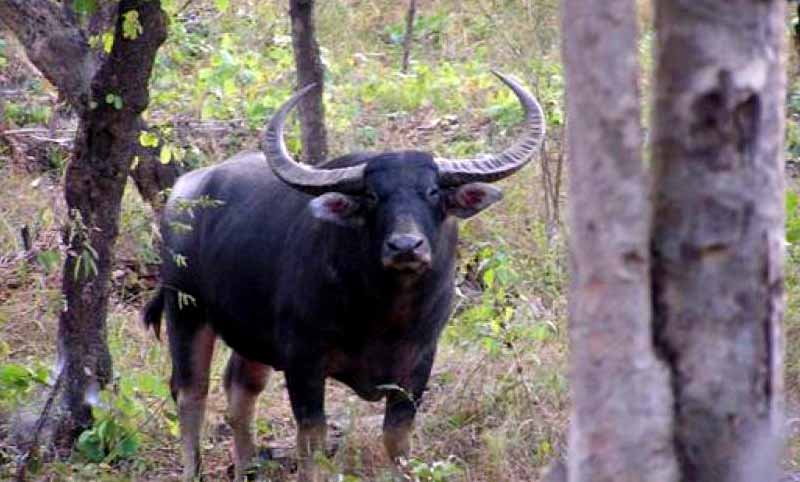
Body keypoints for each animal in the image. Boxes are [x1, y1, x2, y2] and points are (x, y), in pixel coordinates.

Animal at [142, 69, 544, 480]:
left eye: (432, 191)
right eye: (373, 195)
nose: (405, 246)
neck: (386, 314)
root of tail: (182, 193)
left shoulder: (419, 364)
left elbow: (397, 441)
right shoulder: (303, 360)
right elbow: (312, 442)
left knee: (240, 388)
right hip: (185, 312)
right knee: (191, 393)